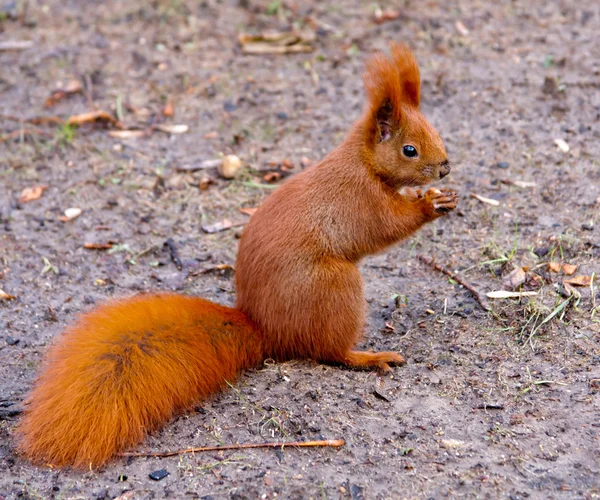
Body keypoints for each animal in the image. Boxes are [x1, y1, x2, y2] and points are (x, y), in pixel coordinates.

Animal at [15, 43, 460, 468]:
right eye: (409, 150)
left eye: (436, 132)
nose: (444, 168)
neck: (364, 162)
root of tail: (264, 328)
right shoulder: (361, 201)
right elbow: (385, 226)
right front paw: (429, 205)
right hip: (333, 287)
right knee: (329, 352)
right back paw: (367, 356)